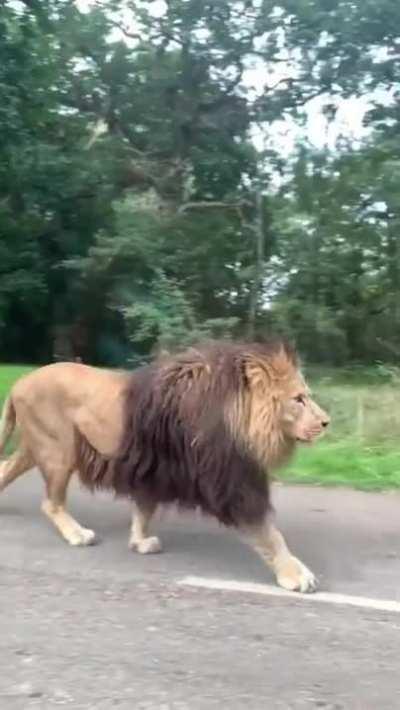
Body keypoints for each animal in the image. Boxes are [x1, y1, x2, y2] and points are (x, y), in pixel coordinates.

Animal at [0, 339, 329, 593]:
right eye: (298, 399)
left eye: (306, 397)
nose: (327, 422)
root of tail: (18, 382)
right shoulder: (229, 483)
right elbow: (269, 534)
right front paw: (296, 574)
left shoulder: (155, 469)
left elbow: (144, 509)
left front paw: (140, 542)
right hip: (59, 449)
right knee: (51, 503)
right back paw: (78, 534)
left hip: (37, 447)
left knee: (5, 468)